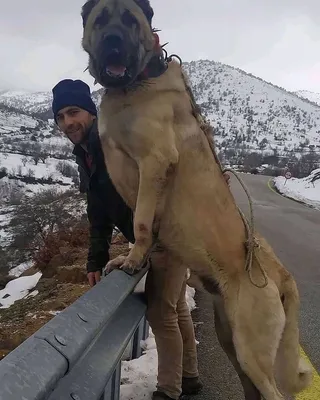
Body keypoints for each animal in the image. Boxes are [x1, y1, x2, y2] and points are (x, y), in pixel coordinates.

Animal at [80, 1, 312, 398]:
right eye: (101, 20)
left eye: (129, 20)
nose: (113, 43)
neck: (135, 83)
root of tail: (280, 272)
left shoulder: (155, 161)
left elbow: (141, 219)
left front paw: (134, 257)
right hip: (229, 336)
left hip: (250, 345)